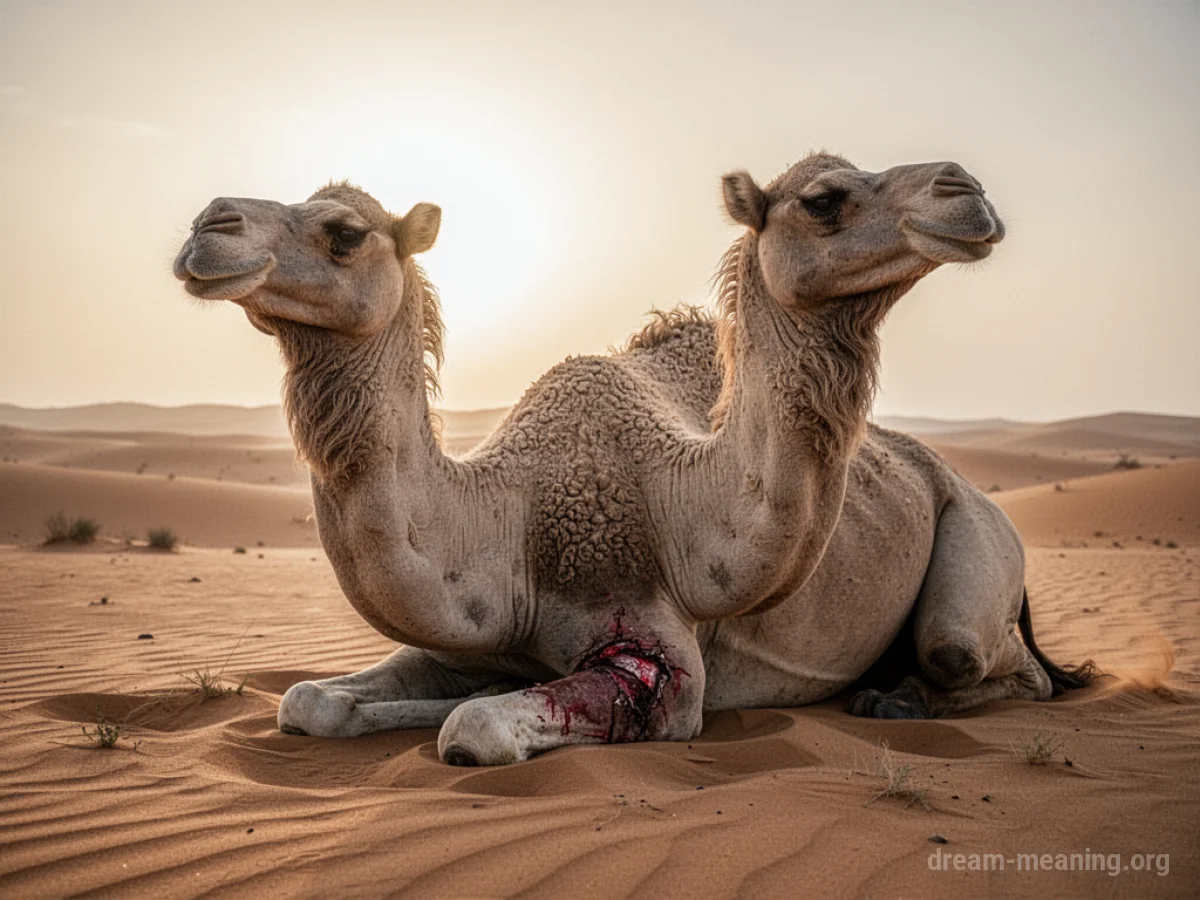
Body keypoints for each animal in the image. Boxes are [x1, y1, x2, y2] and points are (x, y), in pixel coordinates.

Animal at [173, 153, 1094, 765]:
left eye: (343, 232)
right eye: (826, 198)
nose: (207, 225)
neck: (513, 517)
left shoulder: (660, 658)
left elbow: (475, 728)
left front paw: (468, 716)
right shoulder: (469, 633)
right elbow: (309, 702)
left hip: (978, 539)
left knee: (984, 660)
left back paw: (893, 699)